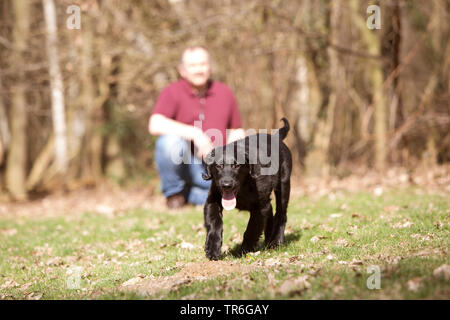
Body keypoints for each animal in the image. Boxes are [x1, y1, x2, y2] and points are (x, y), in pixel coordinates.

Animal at [202, 117, 294, 260]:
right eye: (219, 166)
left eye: (237, 166)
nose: (226, 185)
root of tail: (276, 137)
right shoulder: (213, 200)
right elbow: (214, 223)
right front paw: (212, 250)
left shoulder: (259, 207)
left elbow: (251, 229)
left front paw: (243, 251)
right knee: (271, 212)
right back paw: (268, 241)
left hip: (284, 185)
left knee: (281, 214)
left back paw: (275, 242)